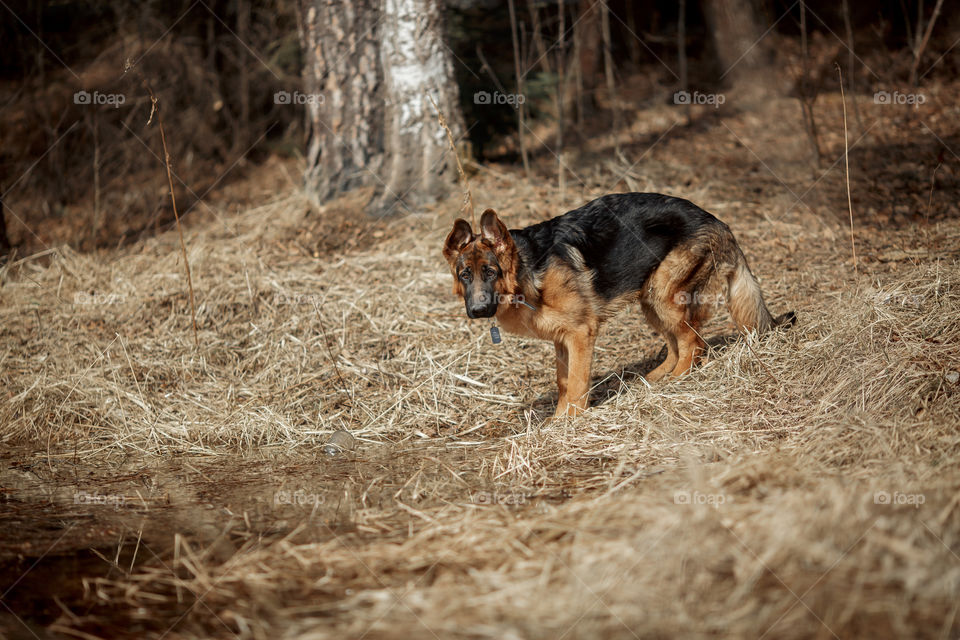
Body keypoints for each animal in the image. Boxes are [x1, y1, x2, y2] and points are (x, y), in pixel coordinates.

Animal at [444, 192, 796, 418]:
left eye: (491, 272)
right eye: (465, 275)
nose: (477, 311)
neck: (527, 273)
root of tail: (718, 221)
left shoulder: (580, 335)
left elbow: (576, 384)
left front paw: (571, 423)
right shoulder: (562, 341)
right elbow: (563, 383)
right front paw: (558, 422)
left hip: (663, 296)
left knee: (693, 343)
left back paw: (678, 380)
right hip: (650, 302)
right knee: (676, 344)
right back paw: (656, 379)